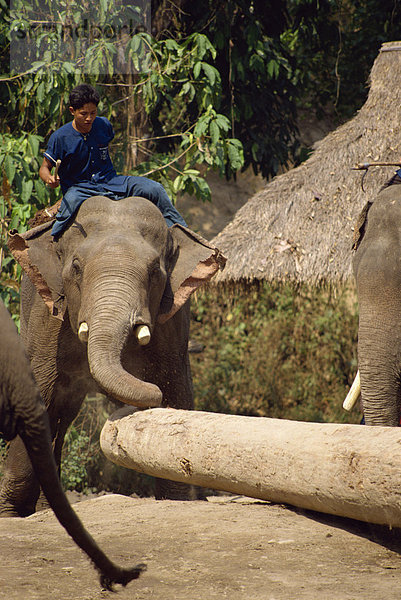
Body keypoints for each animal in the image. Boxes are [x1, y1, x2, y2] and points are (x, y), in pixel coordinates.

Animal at [0, 196, 223, 516]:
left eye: (154, 271)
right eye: (76, 267)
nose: (149, 391)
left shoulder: (173, 320)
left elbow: (177, 390)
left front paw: (179, 499)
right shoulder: (48, 315)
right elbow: (39, 391)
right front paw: (10, 513)